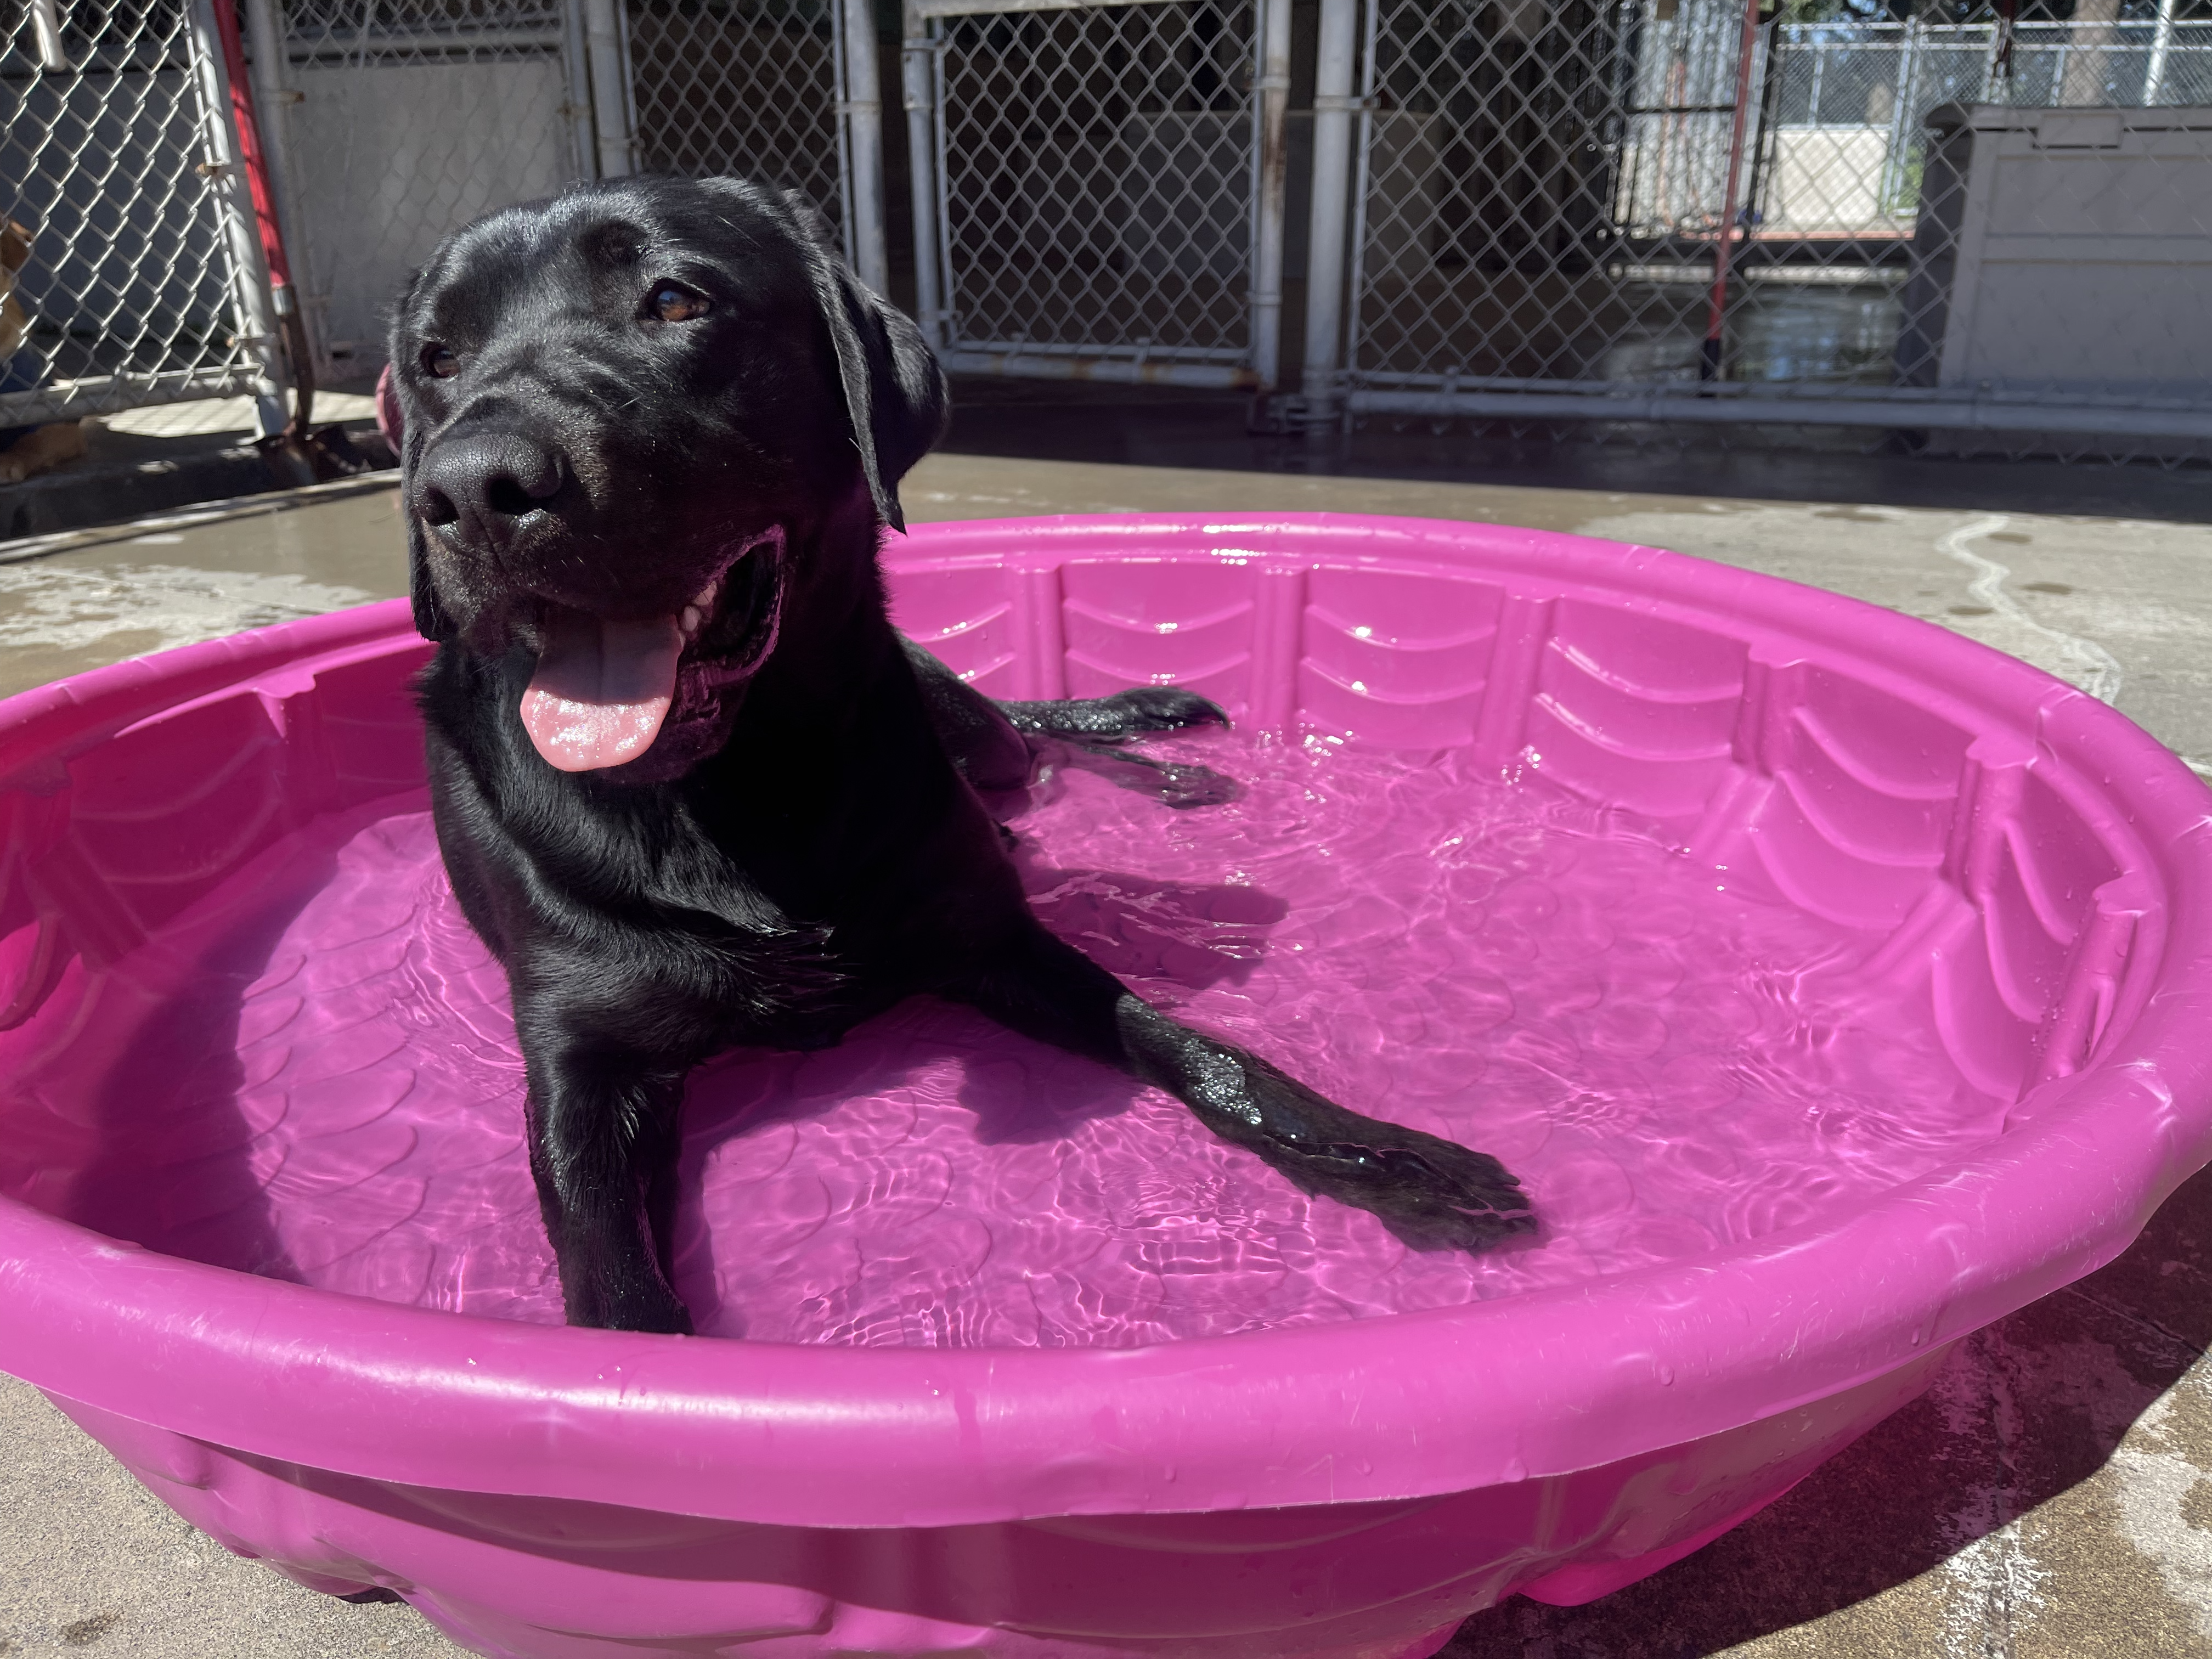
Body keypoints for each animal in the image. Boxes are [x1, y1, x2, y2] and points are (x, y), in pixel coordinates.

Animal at [389, 176, 1531, 1336]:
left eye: (673, 299)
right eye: (436, 358)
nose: (473, 488)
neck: (738, 792)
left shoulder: (991, 937)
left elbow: (1201, 1051)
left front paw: (1384, 1157)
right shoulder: (580, 1062)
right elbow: (615, 1288)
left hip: (975, 740)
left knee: (1033, 743)